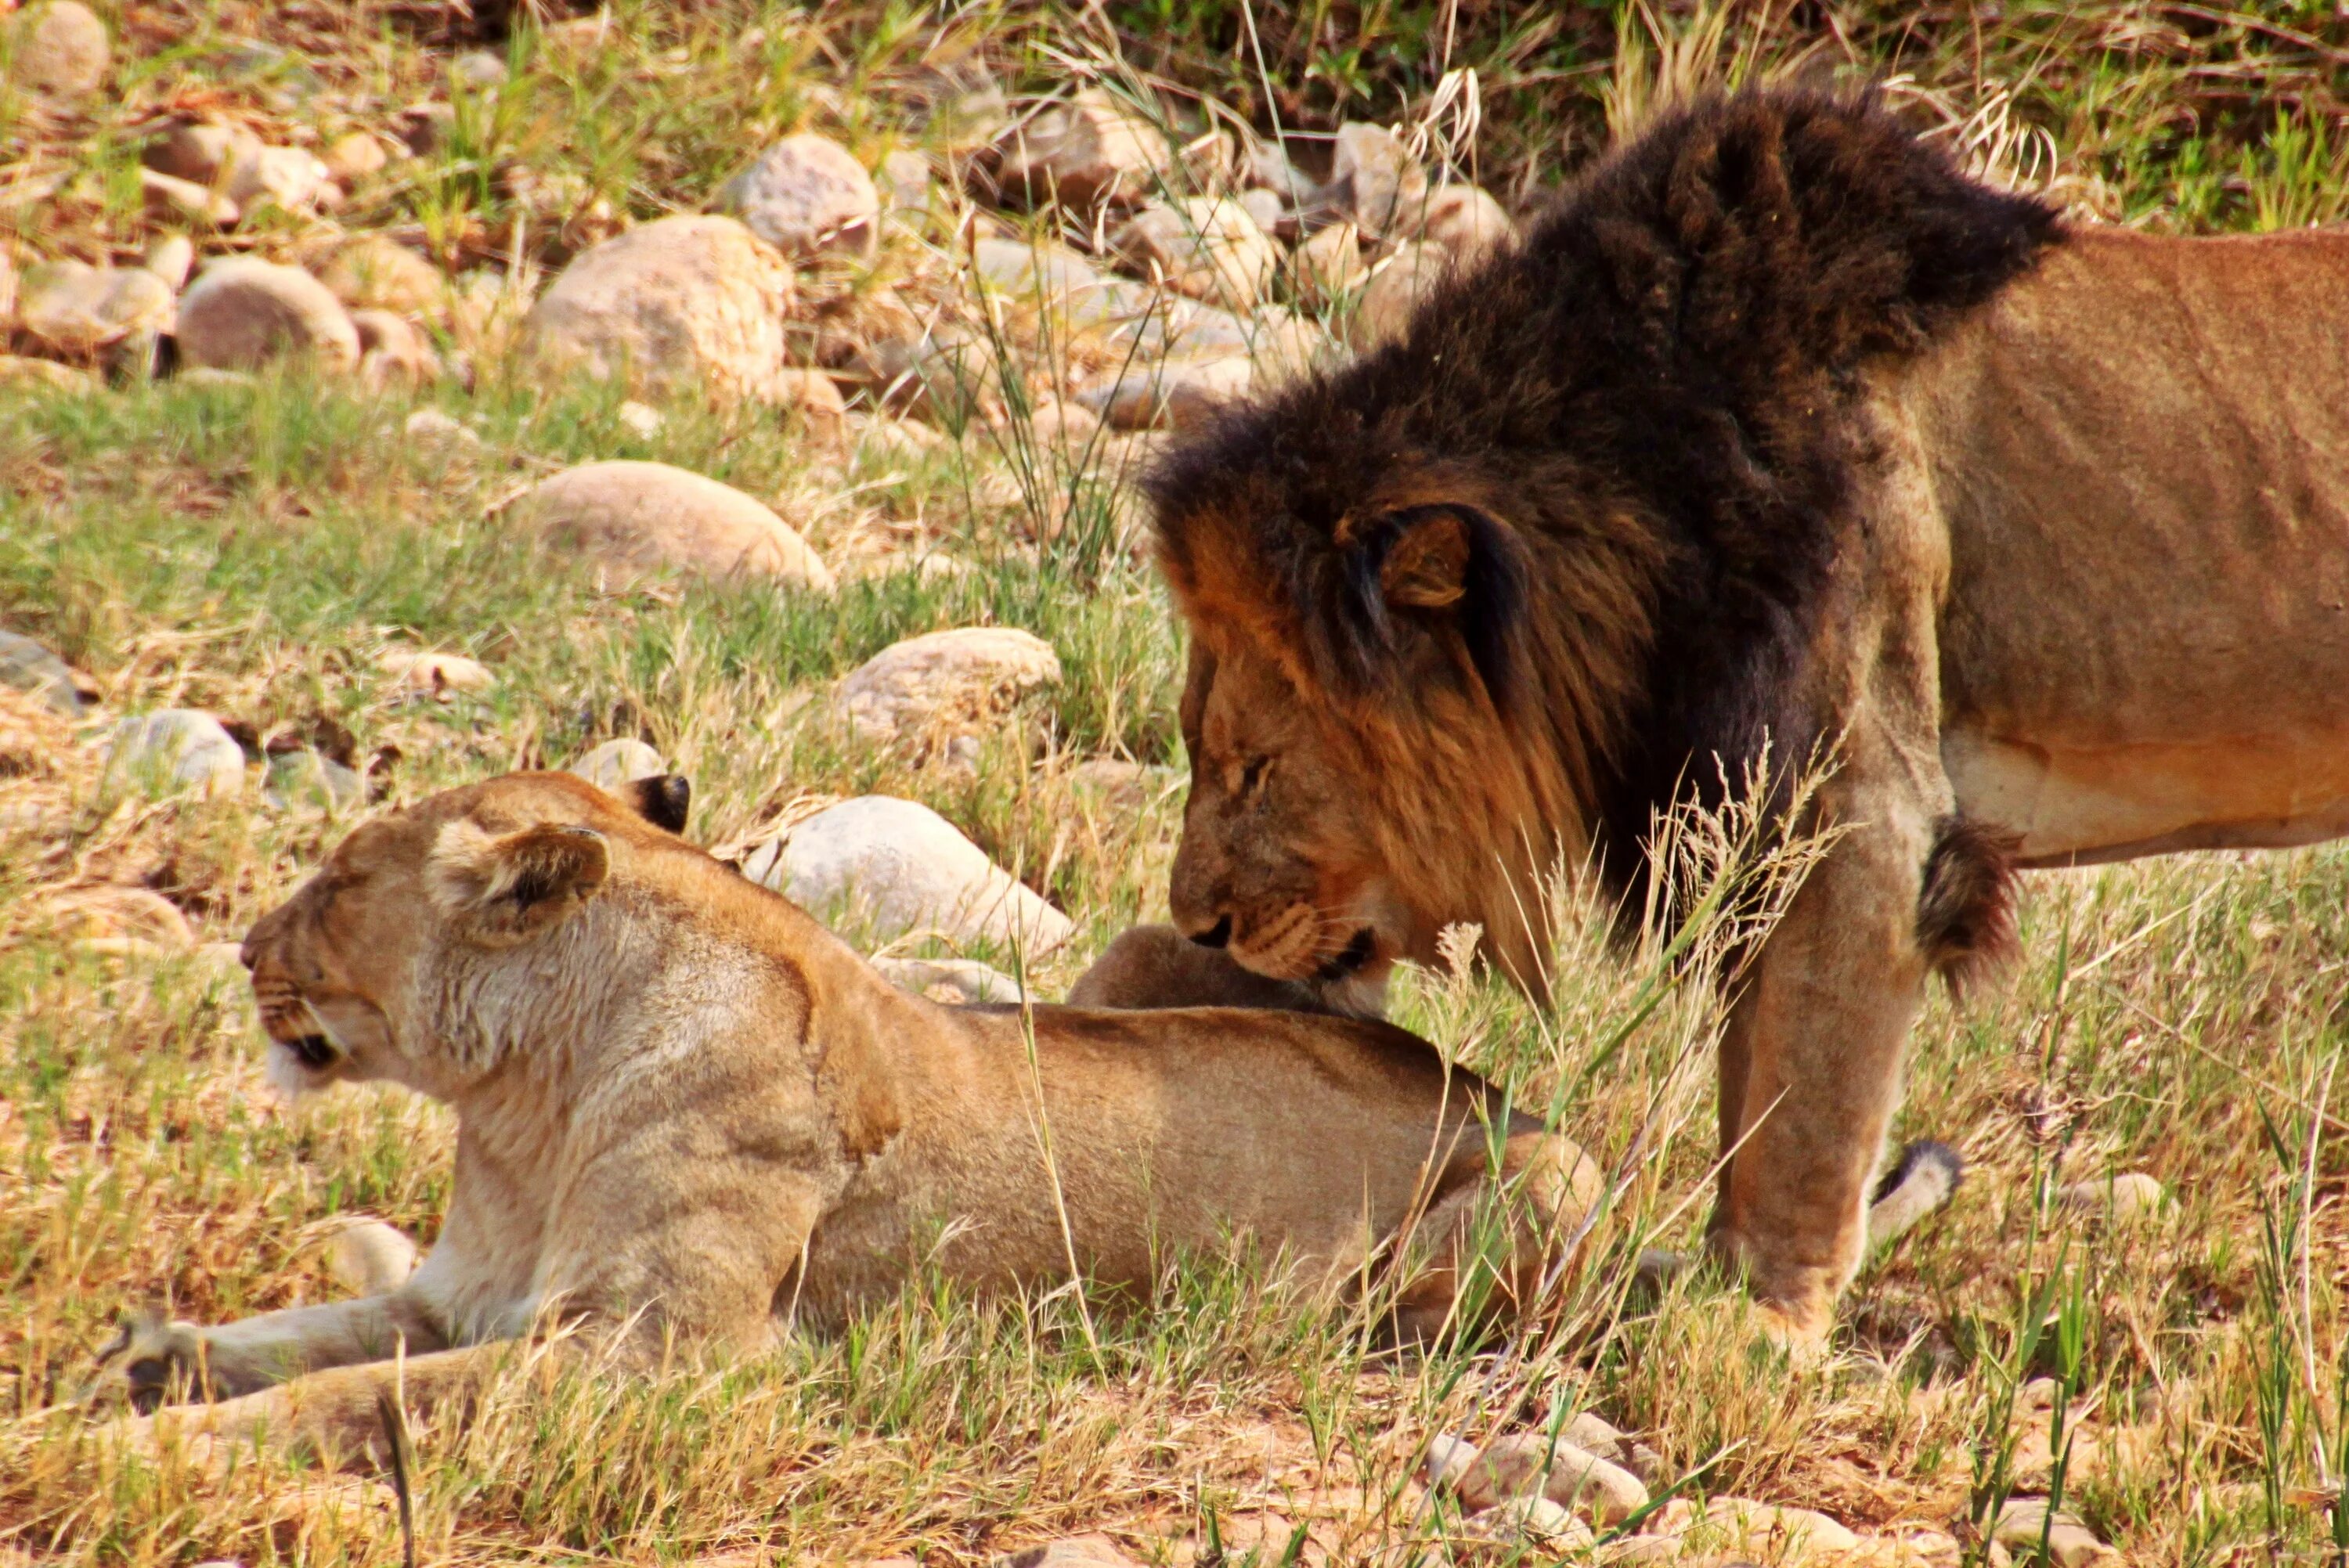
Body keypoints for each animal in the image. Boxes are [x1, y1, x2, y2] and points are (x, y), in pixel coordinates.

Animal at [96, 770, 1597, 1455]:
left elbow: (346, 1396)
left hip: (1561, 1174)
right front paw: (131, 1365)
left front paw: (147, 1446)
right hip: (1143, 950)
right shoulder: (459, 1296)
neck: (526, 1106)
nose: (242, 945)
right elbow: (296, 1342)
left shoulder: (647, 1356)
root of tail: (1471, 1076)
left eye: (343, 877)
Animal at [1137, 82, 2349, 1333]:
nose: (1196, 927)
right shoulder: (1744, 822)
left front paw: (1764, 1323)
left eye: (1255, 766)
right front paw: (1708, 1282)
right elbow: (1749, 1081)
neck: (1633, 499)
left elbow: (1804, 1110)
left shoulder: (1861, 821)